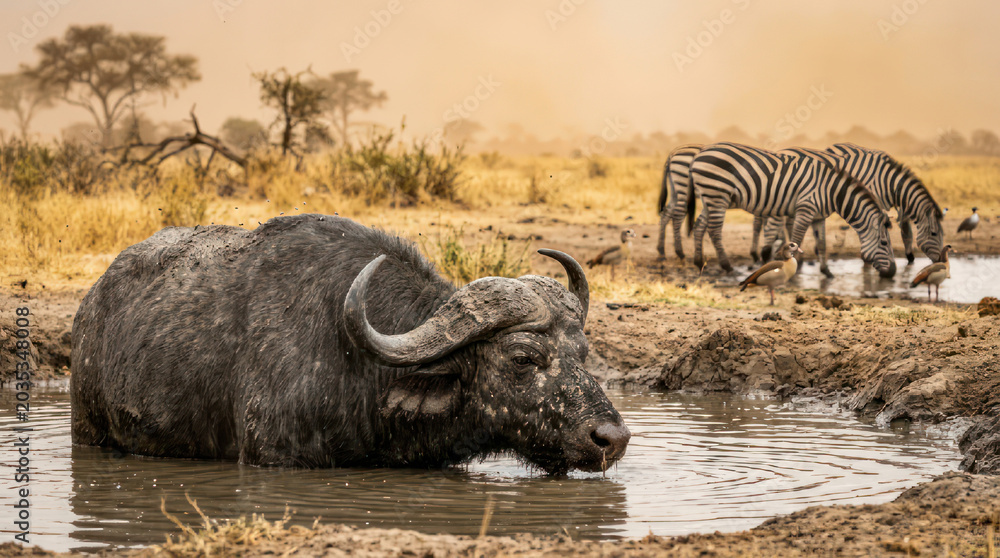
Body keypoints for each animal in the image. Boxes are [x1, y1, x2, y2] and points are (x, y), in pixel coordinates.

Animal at [71, 214, 630, 474]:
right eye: (522, 358)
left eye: (583, 354)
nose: (612, 438)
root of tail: (91, 304)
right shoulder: (276, 458)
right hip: (88, 432)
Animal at [688, 142, 897, 278]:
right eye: (885, 243)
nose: (893, 272)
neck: (831, 191)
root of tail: (699, 154)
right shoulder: (806, 208)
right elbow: (796, 240)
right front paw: (793, 269)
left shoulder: (818, 216)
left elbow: (822, 243)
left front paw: (827, 272)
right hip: (717, 194)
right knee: (714, 231)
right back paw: (727, 266)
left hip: (709, 197)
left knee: (699, 225)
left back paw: (698, 262)